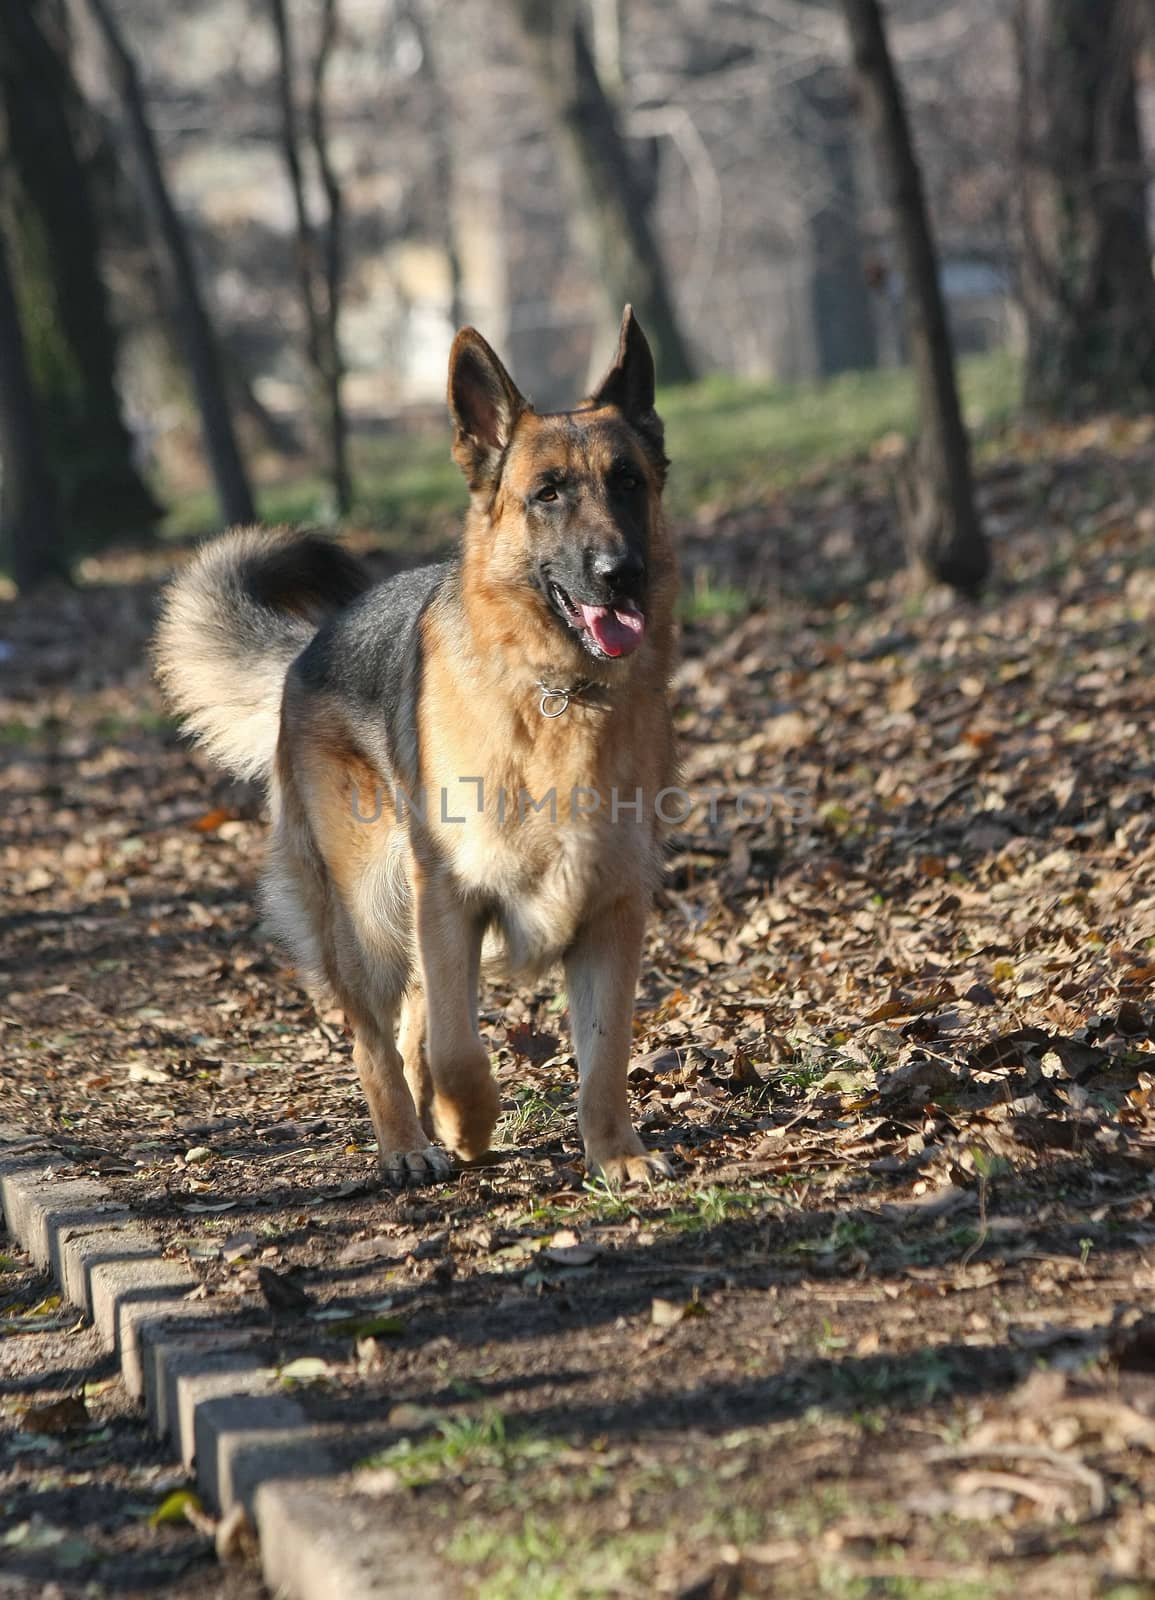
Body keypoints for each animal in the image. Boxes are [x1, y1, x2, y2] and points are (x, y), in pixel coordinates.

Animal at [155, 308, 675, 1190]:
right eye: (547, 494)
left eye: (628, 483)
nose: (621, 573)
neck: (555, 693)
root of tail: (309, 649)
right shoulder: (451, 898)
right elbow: (459, 1050)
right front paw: (467, 1125)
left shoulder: (611, 910)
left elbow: (603, 1058)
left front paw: (616, 1155)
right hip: (371, 908)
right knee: (376, 1037)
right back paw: (406, 1142)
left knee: (408, 1028)